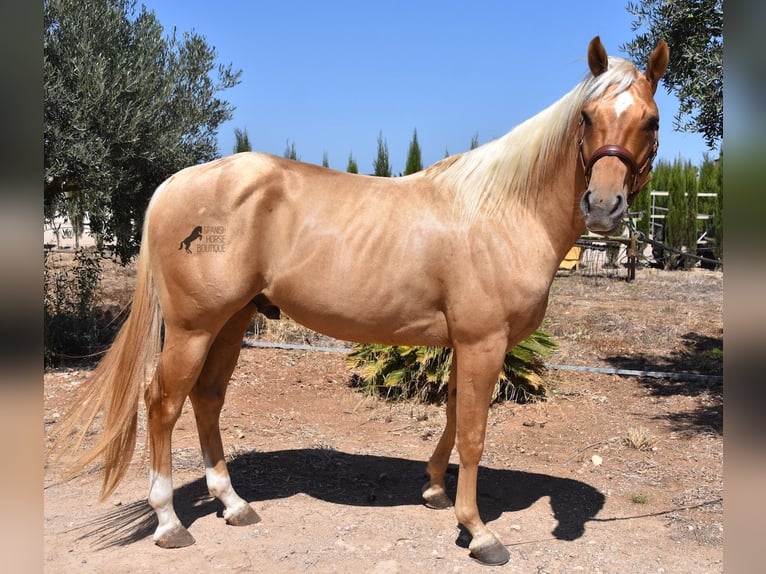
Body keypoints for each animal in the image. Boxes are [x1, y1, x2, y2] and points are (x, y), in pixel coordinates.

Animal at [52, 37, 664, 568]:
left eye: (650, 121)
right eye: (588, 117)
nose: (603, 205)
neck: (503, 210)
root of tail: (174, 186)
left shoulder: (463, 344)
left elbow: (451, 414)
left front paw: (435, 490)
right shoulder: (483, 342)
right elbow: (473, 432)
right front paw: (478, 530)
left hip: (231, 322)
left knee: (206, 401)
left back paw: (233, 504)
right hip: (192, 328)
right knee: (162, 404)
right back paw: (170, 523)